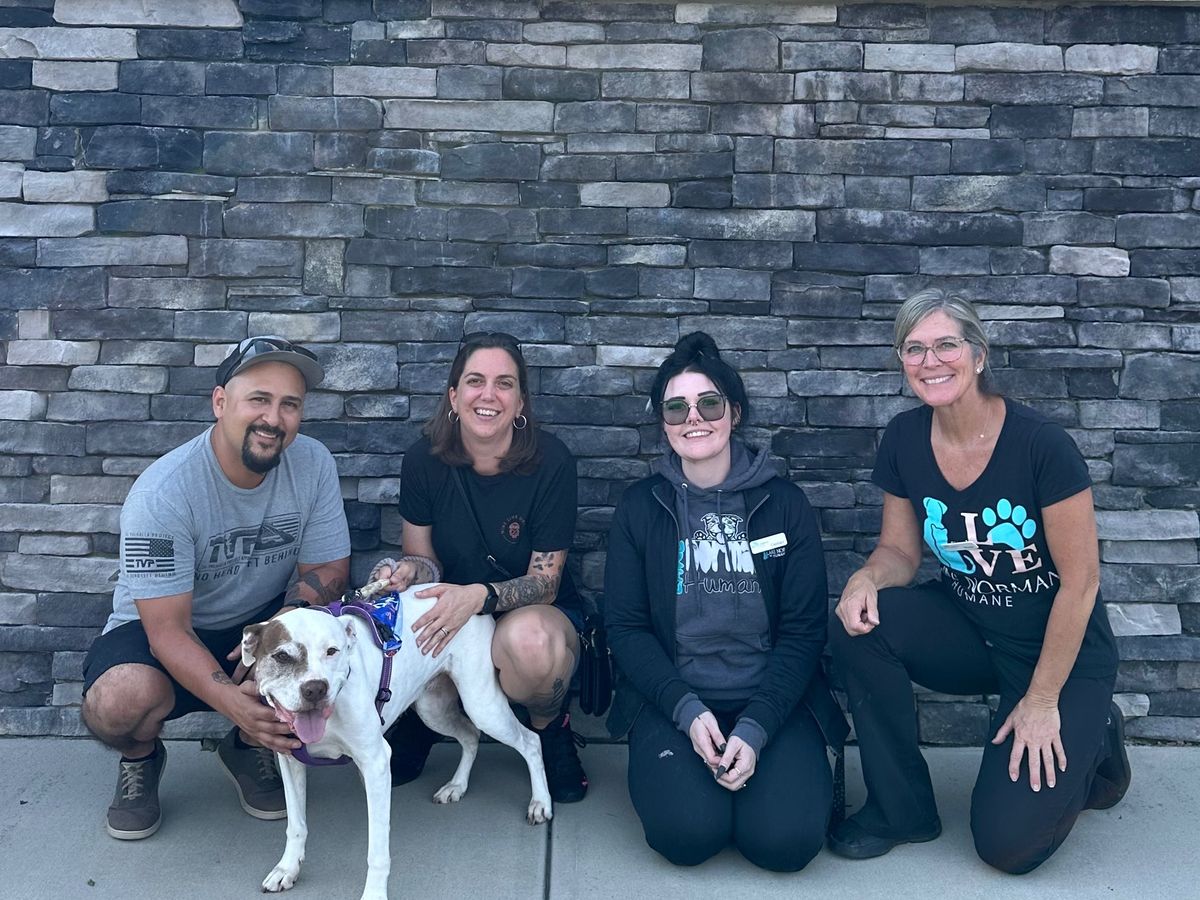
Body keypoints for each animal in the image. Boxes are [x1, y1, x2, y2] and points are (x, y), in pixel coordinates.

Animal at [241, 583, 553, 900]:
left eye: (332, 651)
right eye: (282, 656)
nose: (315, 689)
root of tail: (463, 590)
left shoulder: (376, 763)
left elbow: (377, 850)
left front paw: (374, 894)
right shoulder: (289, 759)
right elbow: (296, 824)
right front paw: (287, 868)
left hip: (483, 705)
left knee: (531, 741)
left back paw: (540, 802)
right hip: (433, 709)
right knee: (470, 735)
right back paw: (457, 786)